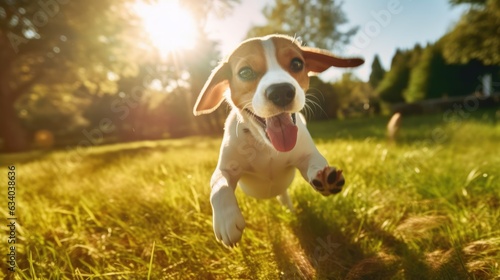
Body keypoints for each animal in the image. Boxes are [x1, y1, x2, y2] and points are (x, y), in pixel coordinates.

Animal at [192, 34, 364, 246]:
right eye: (245, 72)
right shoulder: (226, 168)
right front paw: (226, 219)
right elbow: (218, 185)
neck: (267, 146)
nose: (281, 91)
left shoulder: (306, 156)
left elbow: (316, 161)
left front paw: (325, 176)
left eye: (297, 63)